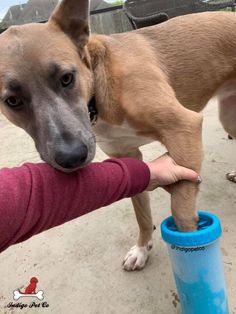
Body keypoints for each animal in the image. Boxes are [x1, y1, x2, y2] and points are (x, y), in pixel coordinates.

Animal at [0, 0, 234, 270]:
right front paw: (142, 248)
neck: (97, 96)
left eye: (67, 78)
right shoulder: (128, 156)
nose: (72, 157)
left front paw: (192, 261)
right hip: (229, 119)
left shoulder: (183, 128)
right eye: (12, 101)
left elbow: (182, 213)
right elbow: (141, 211)